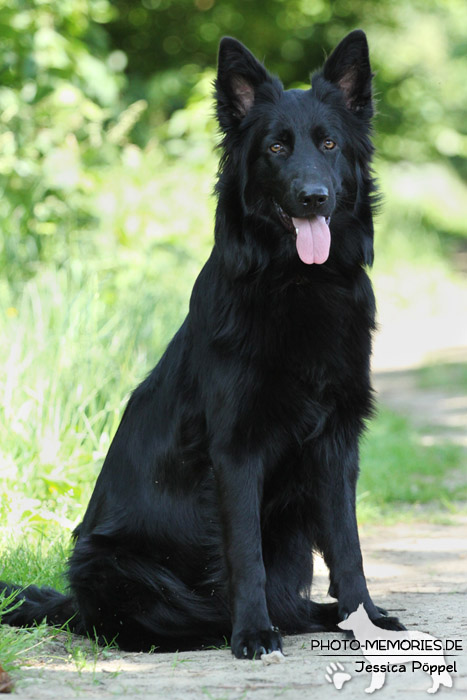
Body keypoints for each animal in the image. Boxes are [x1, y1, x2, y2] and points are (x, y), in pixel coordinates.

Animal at [0, 31, 404, 656]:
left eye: (330, 144)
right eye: (276, 147)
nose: (313, 197)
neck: (296, 284)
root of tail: (75, 604)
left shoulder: (337, 444)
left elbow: (348, 545)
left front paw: (364, 617)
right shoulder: (235, 450)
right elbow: (244, 555)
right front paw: (253, 632)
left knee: (292, 598)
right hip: (114, 568)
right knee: (174, 616)